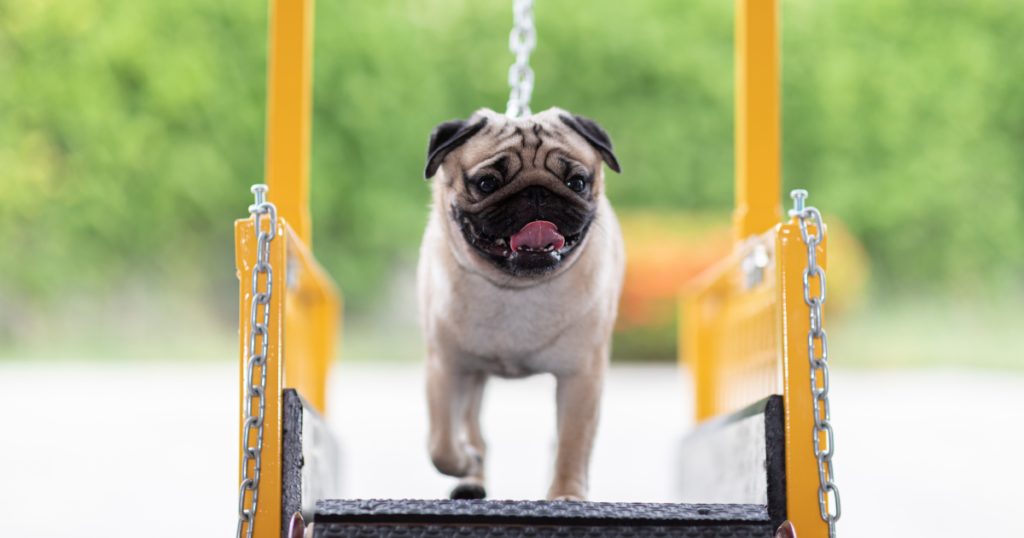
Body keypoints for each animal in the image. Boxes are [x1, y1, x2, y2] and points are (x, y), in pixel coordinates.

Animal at [415, 107, 622, 502]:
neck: (516, 288)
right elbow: (440, 445)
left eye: (577, 183)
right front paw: (464, 462)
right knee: (473, 431)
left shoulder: (581, 377)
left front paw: (567, 494)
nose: (537, 193)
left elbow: (572, 442)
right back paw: (472, 477)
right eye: (486, 184)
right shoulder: (446, 368)